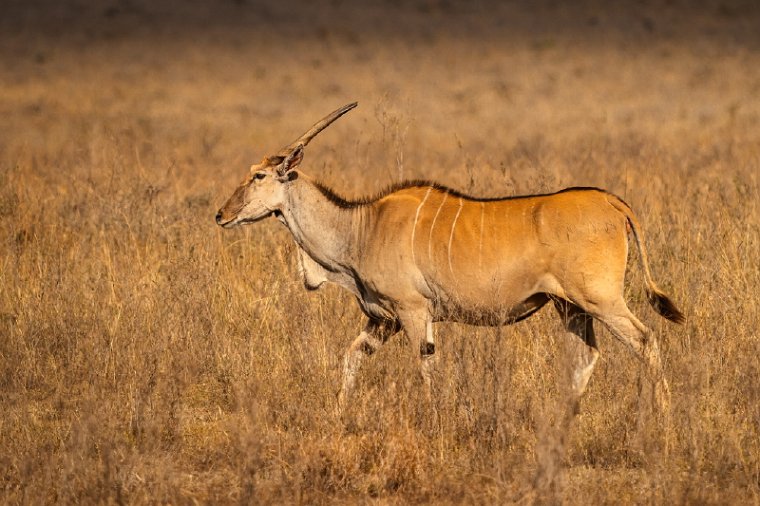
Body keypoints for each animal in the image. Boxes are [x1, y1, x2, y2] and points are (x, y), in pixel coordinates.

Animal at [215, 102, 684, 412]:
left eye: (259, 176)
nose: (221, 215)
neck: (361, 227)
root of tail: (613, 203)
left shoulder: (412, 312)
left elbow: (426, 368)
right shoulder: (382, 319)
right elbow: (351, 358)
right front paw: (339, 415)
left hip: (600, 300)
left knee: (645, 340)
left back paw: (662, 418)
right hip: (569, 307)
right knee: (585, 359)